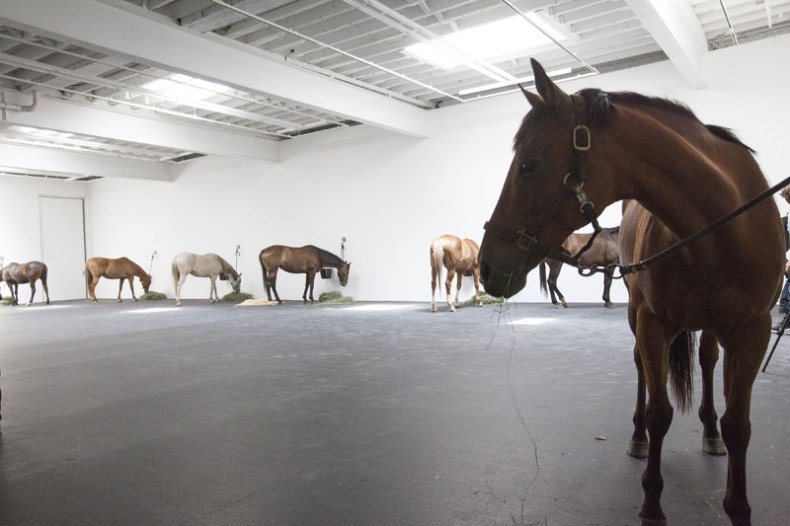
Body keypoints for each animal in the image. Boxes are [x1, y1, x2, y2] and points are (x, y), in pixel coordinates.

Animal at [476, 59, 784, 524]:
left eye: (528, 165)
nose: (486, 267)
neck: (722, 228)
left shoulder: (753, 331)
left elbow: (738, 425)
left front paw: (738, 506)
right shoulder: (653, 323)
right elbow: (659, 413)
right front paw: (652, 502)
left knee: (707, 361)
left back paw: (709, 429)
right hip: (637, 315)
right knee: (641, 366)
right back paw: (638, 436)